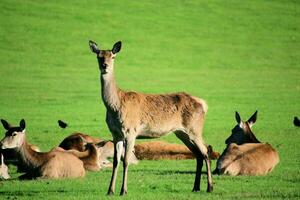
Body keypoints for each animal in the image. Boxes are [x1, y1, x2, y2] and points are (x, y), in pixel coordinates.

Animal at [89, 39, 213, 195]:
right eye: (98, 56)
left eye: (113, 56)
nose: (104, 66)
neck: (115, 107)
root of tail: (204, 104)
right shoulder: (115, 134)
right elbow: (116, 161)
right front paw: (110, 190)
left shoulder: (131, 131)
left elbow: (126, 161)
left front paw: (124, 191)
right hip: (182, 133)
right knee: (198, 154)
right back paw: (195, 187)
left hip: (195, 129)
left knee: (206, 152)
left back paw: (209, 187)